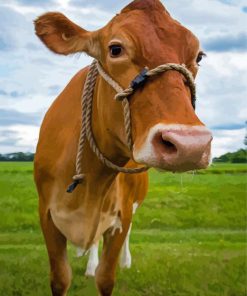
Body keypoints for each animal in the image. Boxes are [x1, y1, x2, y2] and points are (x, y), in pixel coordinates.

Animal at [34, 0, 212, 296]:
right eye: (115, 49)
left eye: (198, 57)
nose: (190, 145)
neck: (89, 186)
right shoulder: (47, 215)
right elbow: (60, 278)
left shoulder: (121, 215)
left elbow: (106, 277)